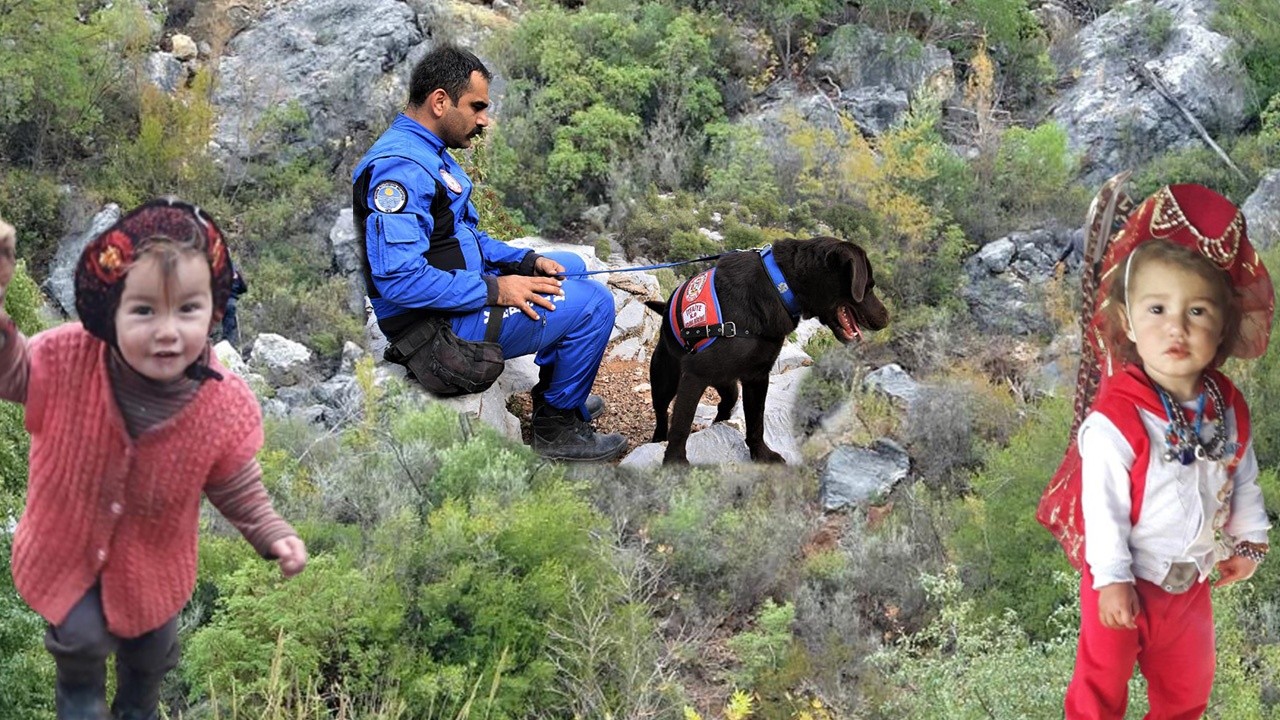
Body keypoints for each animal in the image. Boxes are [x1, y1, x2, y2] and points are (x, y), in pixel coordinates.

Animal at [645, 235, 885, 458]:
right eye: (869, 286)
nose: (886, 318)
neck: (780, 286)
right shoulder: (695, 375)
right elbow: (681, 427)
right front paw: (675, 462)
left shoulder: (757, 376)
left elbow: (756, 421)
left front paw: (760, 454)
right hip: (665, 380)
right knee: (662, 412)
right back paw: (659, 437)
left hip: (726, 382)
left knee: (726, 402)